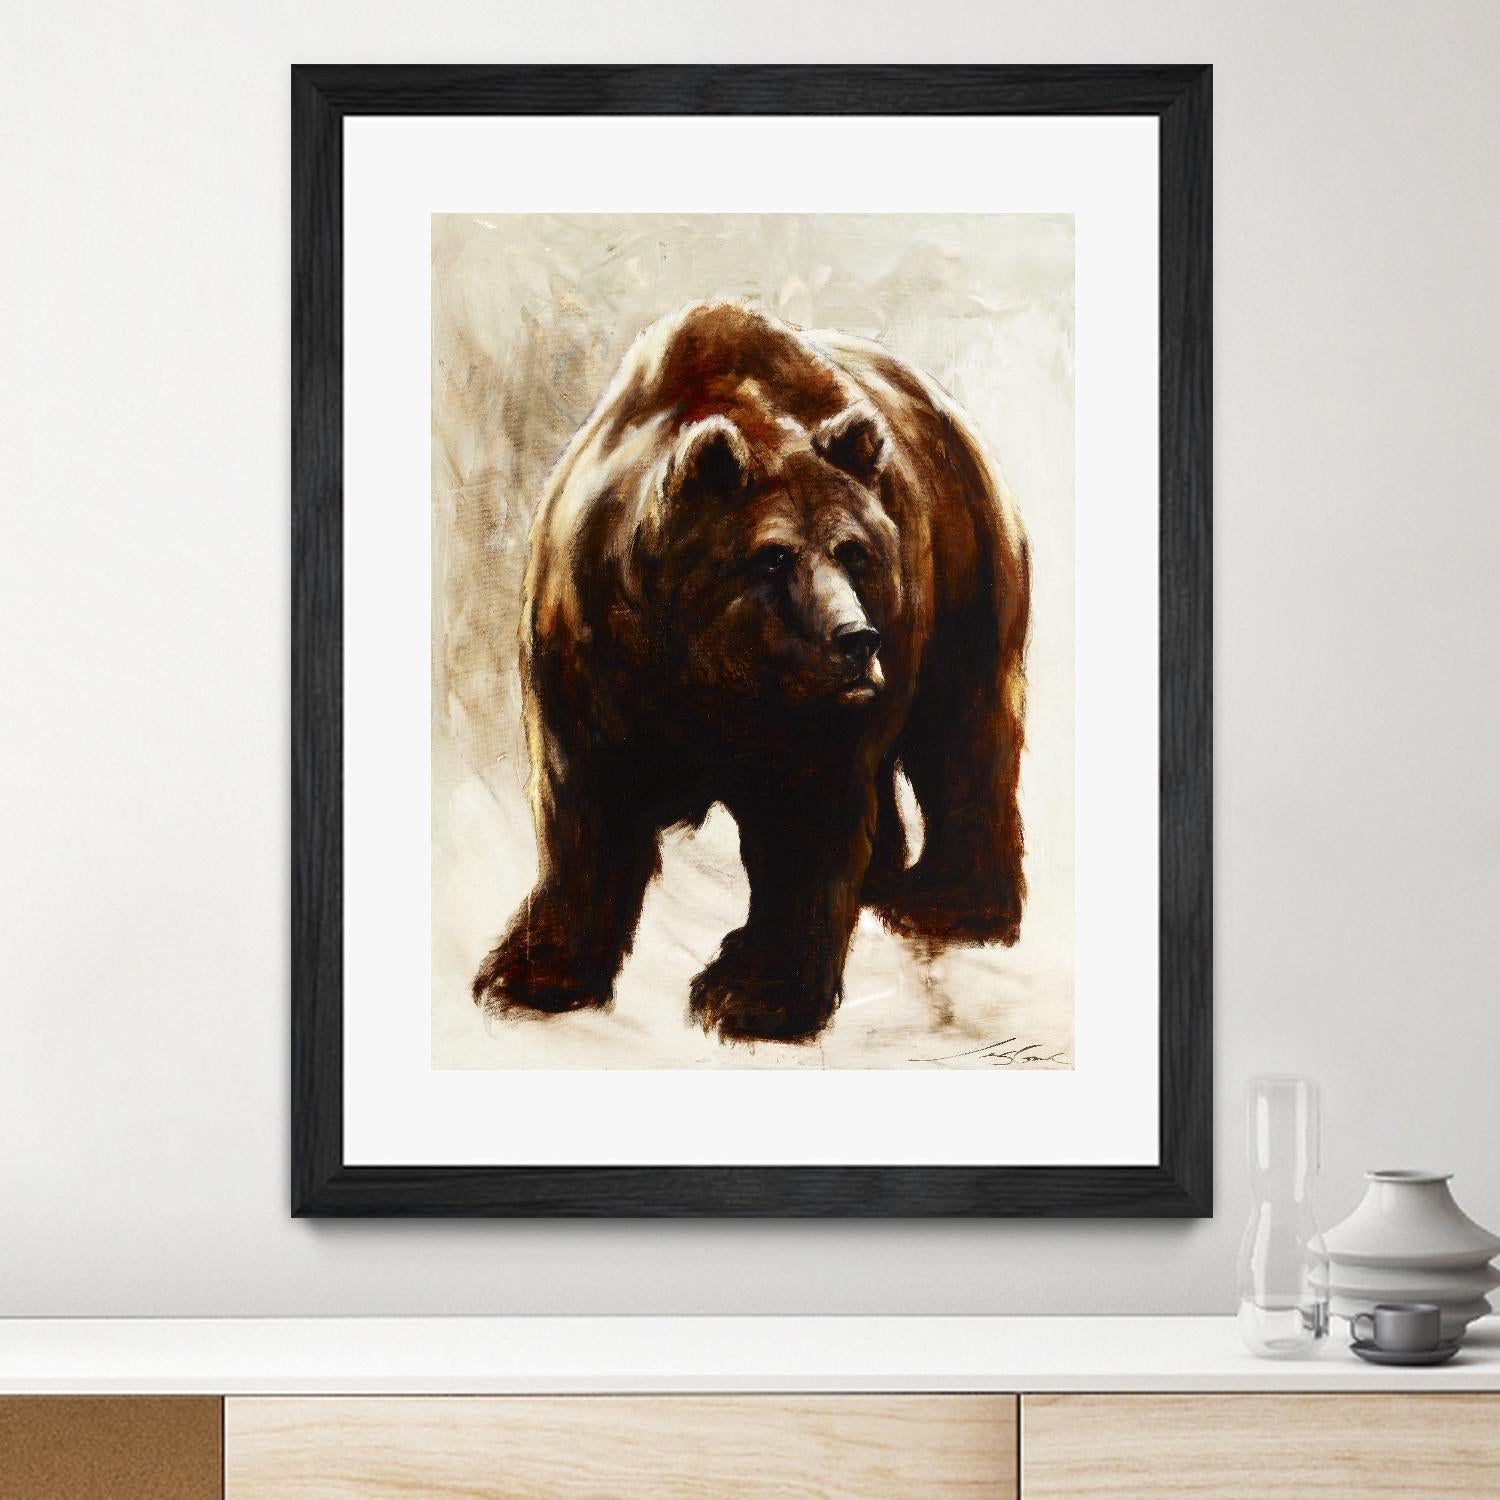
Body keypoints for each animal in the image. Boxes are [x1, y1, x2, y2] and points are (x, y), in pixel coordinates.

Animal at [472, 300, 1031, 1044]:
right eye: (773, 557)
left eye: (853, 552)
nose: (856, 638)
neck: (705, 677)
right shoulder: (592, 664)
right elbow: (584, 809)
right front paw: (533, 971)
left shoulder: (810, 717)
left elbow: (807, 822)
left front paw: (753, 993)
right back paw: (884, 881)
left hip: (964, 570)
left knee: (963, 730)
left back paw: (948, 901)